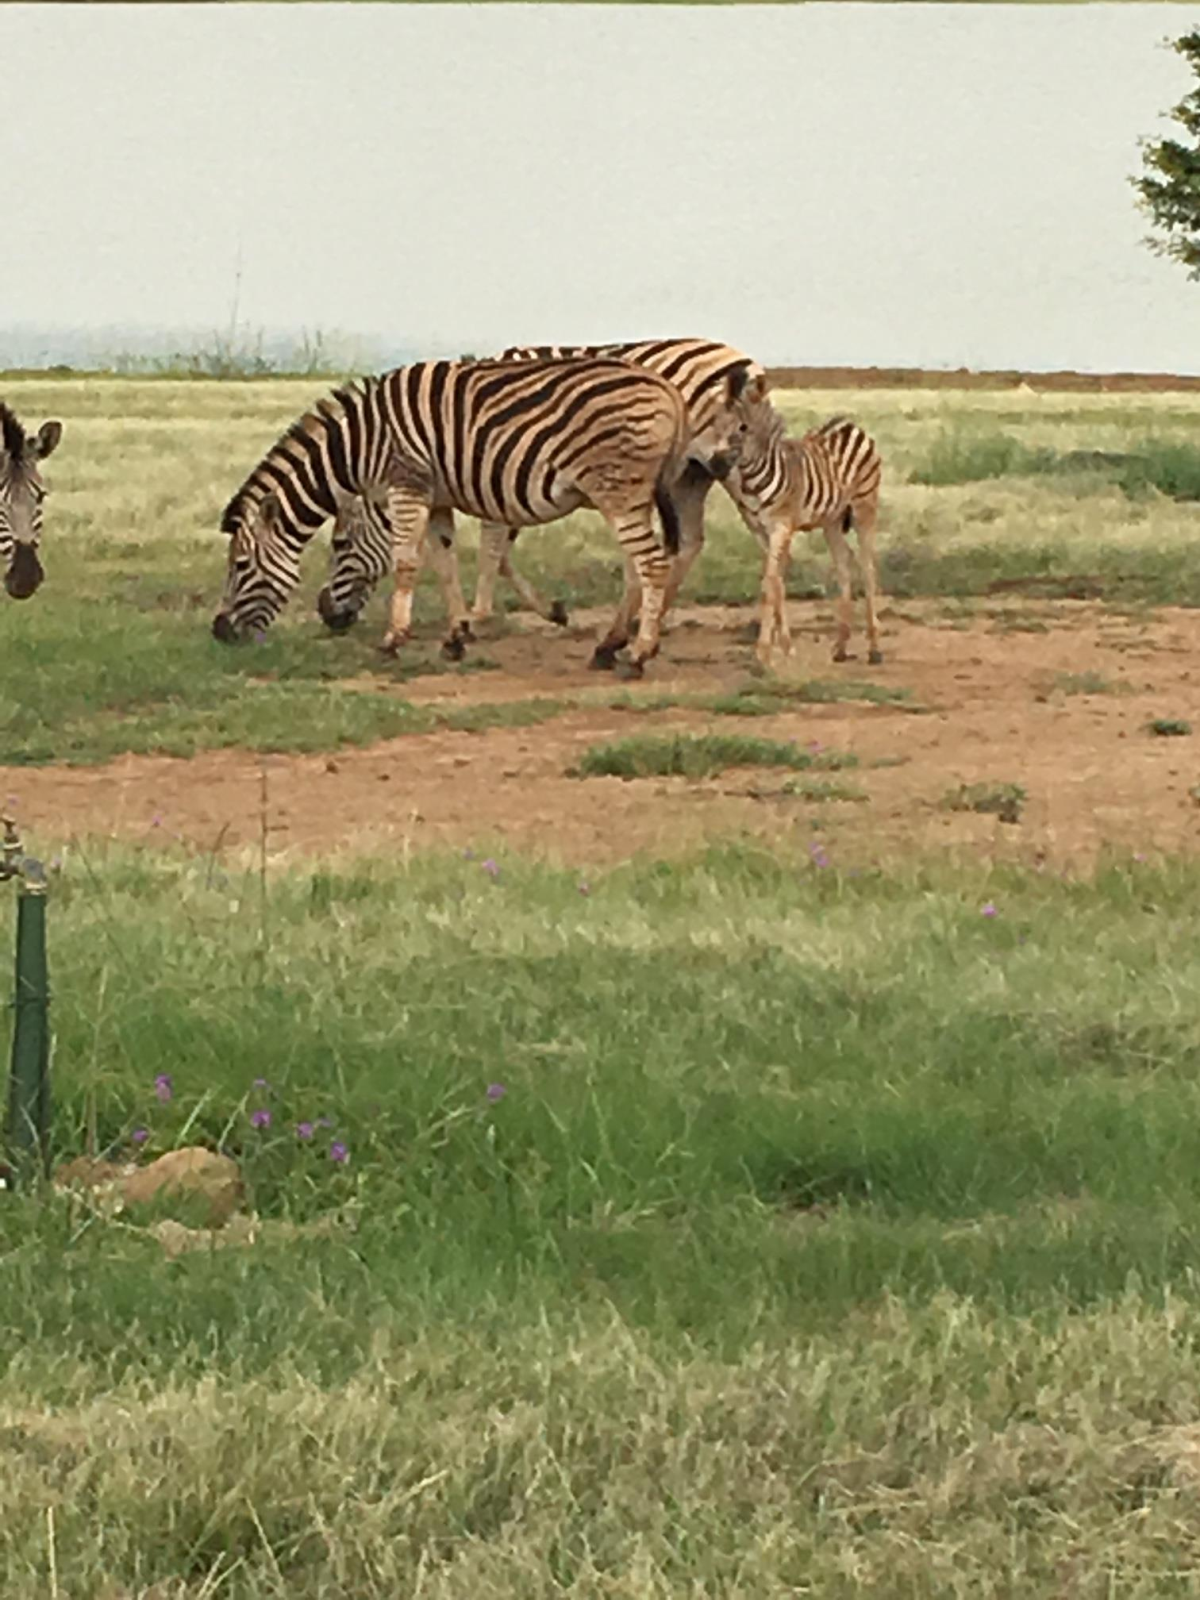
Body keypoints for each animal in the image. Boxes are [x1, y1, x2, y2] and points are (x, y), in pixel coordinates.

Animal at [213, 355, 755, 676]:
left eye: (239, 566)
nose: (219, 633)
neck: (359, 443)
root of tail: (666, 387)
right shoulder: (437, 497)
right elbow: (445, 562)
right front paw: (456, 637)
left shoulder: (407, 483)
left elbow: (407, 562)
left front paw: (392, 640)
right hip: (638, 491)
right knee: (645, 564)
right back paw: (612, 645)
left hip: (619, 490)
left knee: (653, 564)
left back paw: (639, 653)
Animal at [736, 410, 883, 665]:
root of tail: (849, 424)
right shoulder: (760, 530)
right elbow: (776, 582)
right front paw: (783, 647)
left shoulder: (781, 527)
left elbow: (770, 584)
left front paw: (763, 651)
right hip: (831, 520)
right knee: (843, 561)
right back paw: (841, 646)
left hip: (864, 507)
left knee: (868, 567)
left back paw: (874, 648)